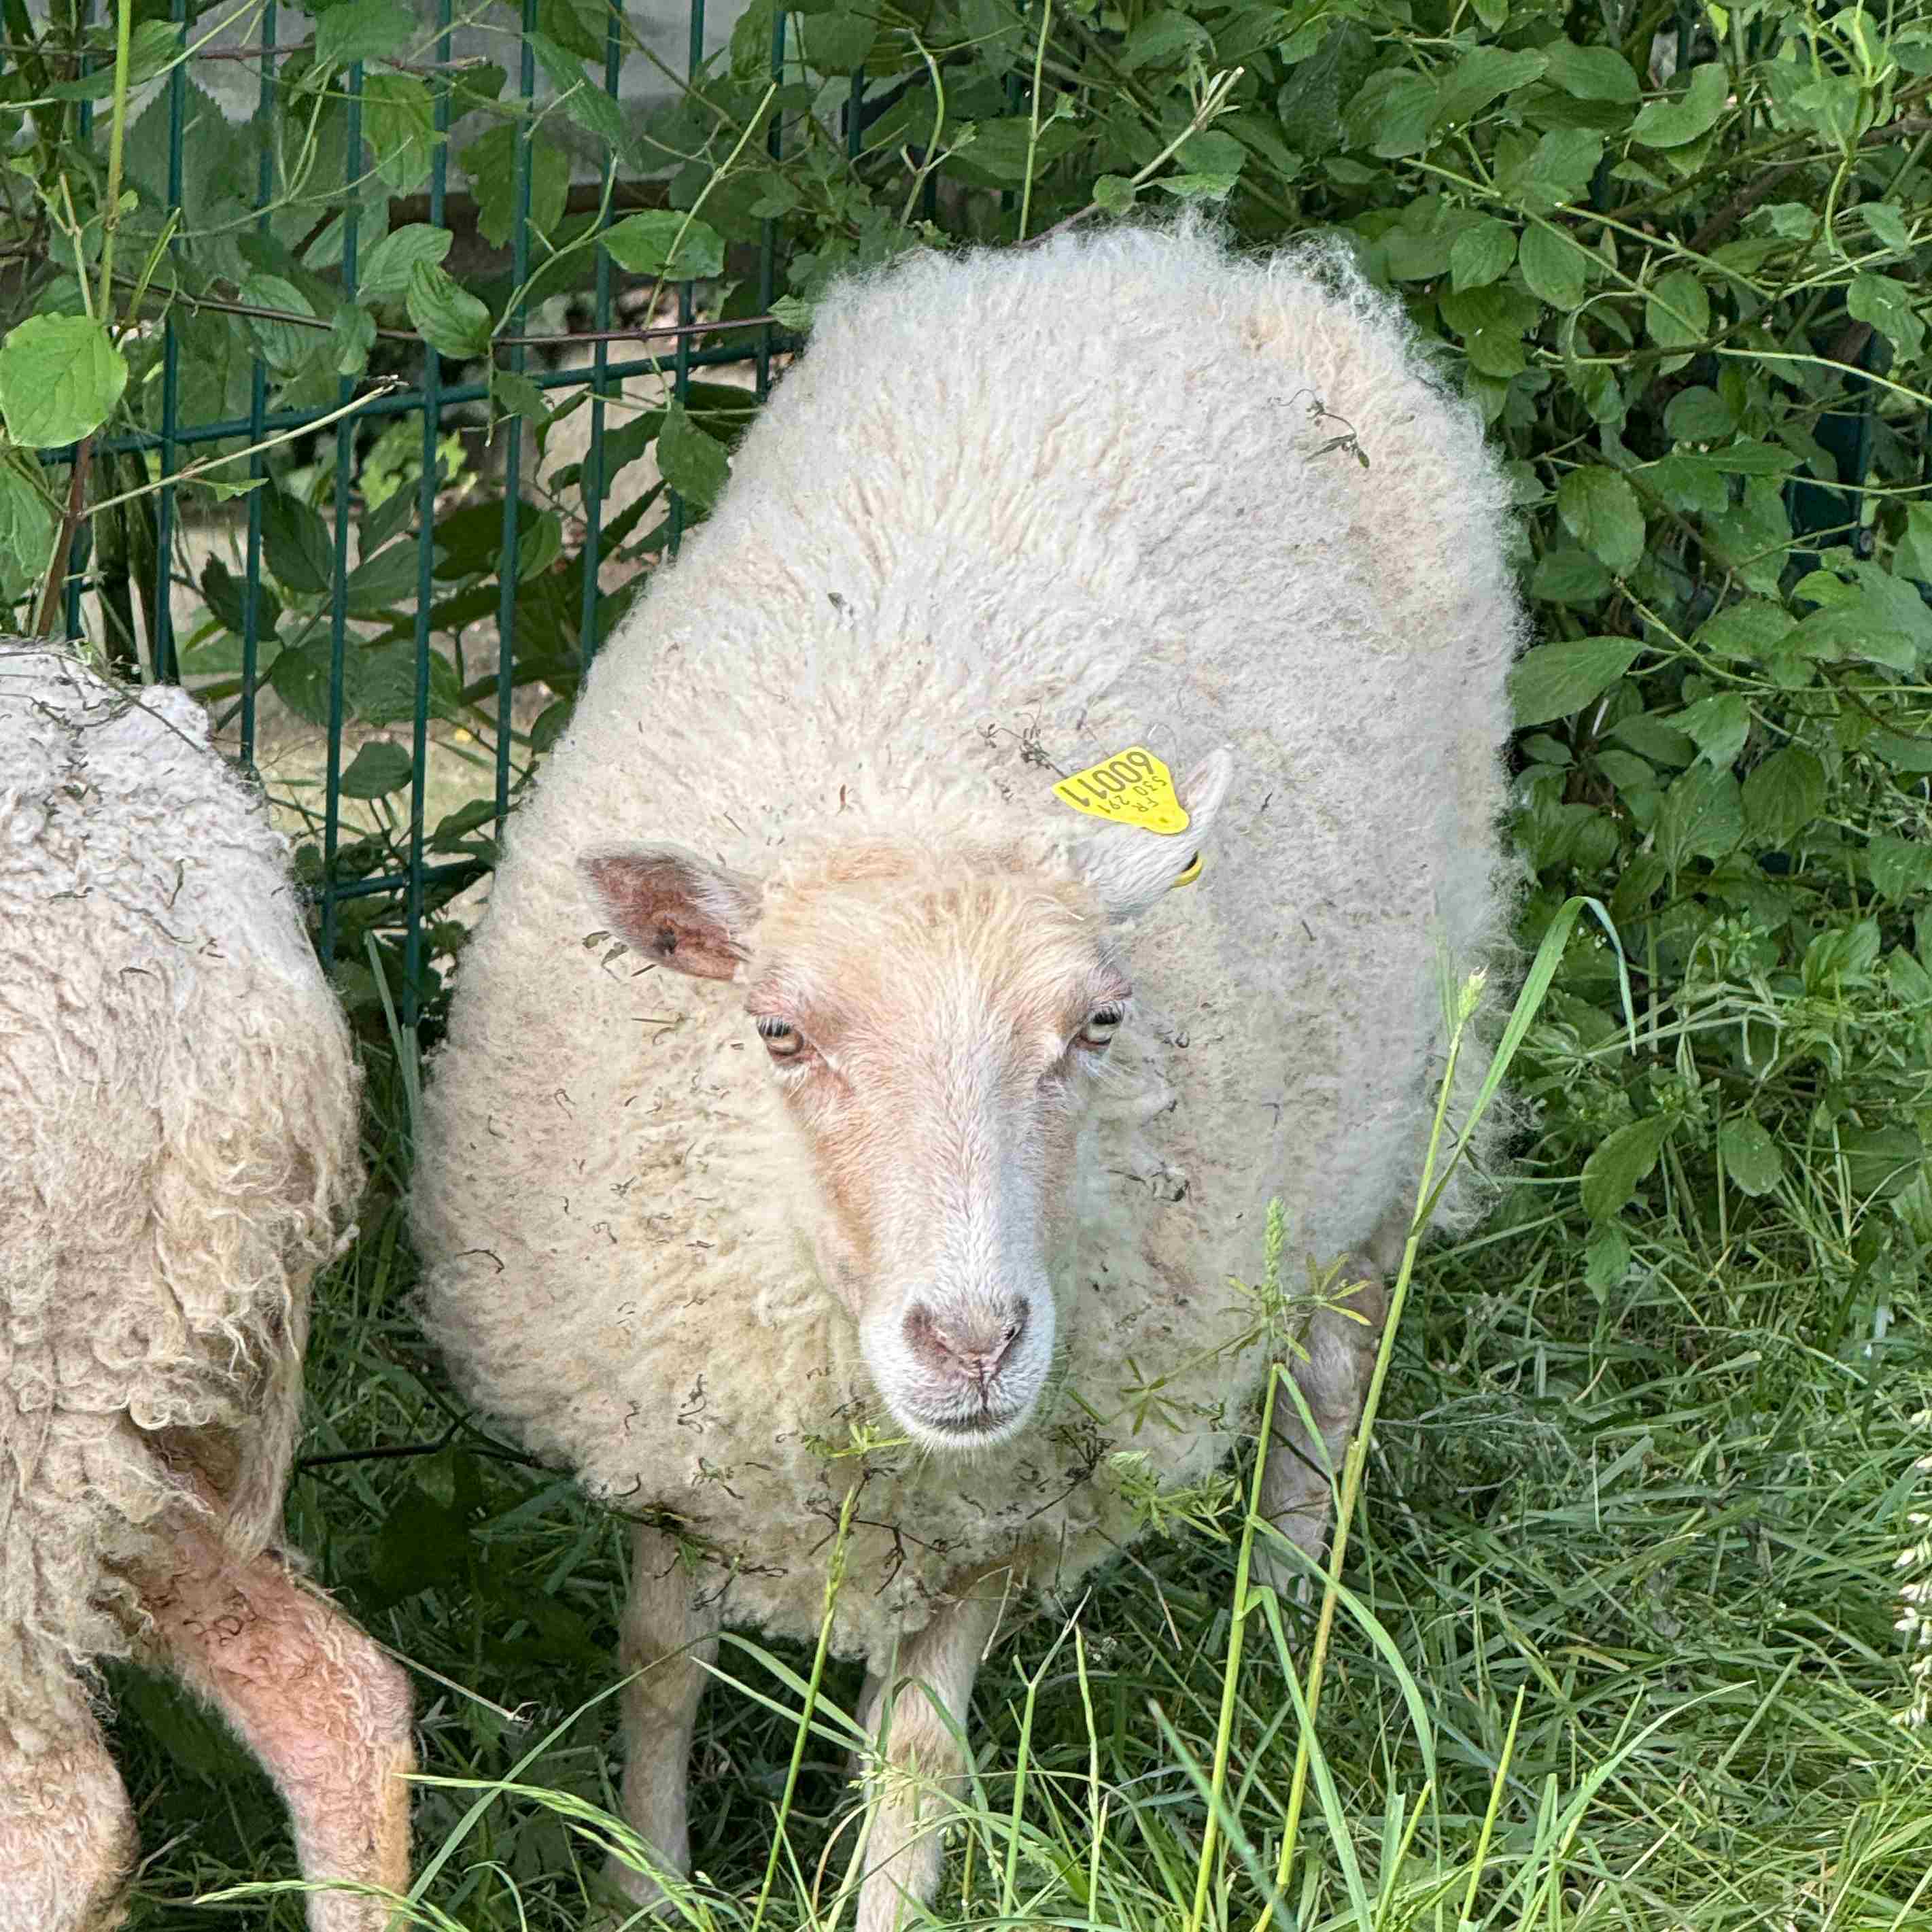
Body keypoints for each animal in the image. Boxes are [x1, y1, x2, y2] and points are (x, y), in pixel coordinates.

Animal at [410, 217, 1525, 1930]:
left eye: (1100, 1027)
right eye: (779, 1031)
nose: (973, 1338)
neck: (907, 767)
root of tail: (1189, 259)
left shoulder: (1007, 1493)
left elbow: (920, 1757)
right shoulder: (668, 1419)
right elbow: (658, 1665)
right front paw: (644, 1884)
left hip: (1402, 1065)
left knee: (1332, 1360)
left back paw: (1281, 1622)